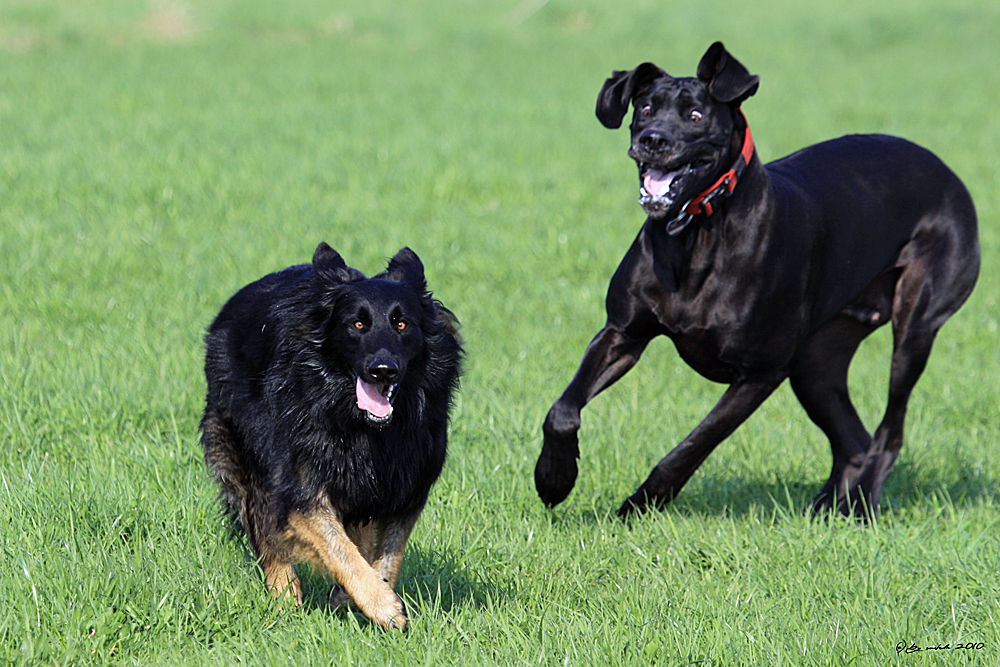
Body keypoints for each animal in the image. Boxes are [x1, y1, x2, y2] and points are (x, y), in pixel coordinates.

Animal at [200, 243, 464, 628]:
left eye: (401, 324)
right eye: (357, 324)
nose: (383, 370)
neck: (360, 425)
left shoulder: (404, 487)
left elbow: (386, 555)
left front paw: (361, 596)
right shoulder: (299, 490)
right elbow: (338, 548)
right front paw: (383, 605)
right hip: (249, 457)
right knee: (266, 531)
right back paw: (285, 599)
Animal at [536, 41, 980, 520]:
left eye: (695, 116)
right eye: (646, 108)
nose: (651, 140)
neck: (696, 233)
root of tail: (947, 172)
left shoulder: (760, 373)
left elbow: (690, 448)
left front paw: (637, 508)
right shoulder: (622, 333)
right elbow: (563, 410)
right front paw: (553, 478)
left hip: (914, 328)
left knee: (889, 433)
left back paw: (859, 510)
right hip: (817, 363)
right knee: (854, 442)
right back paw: (827, 510)